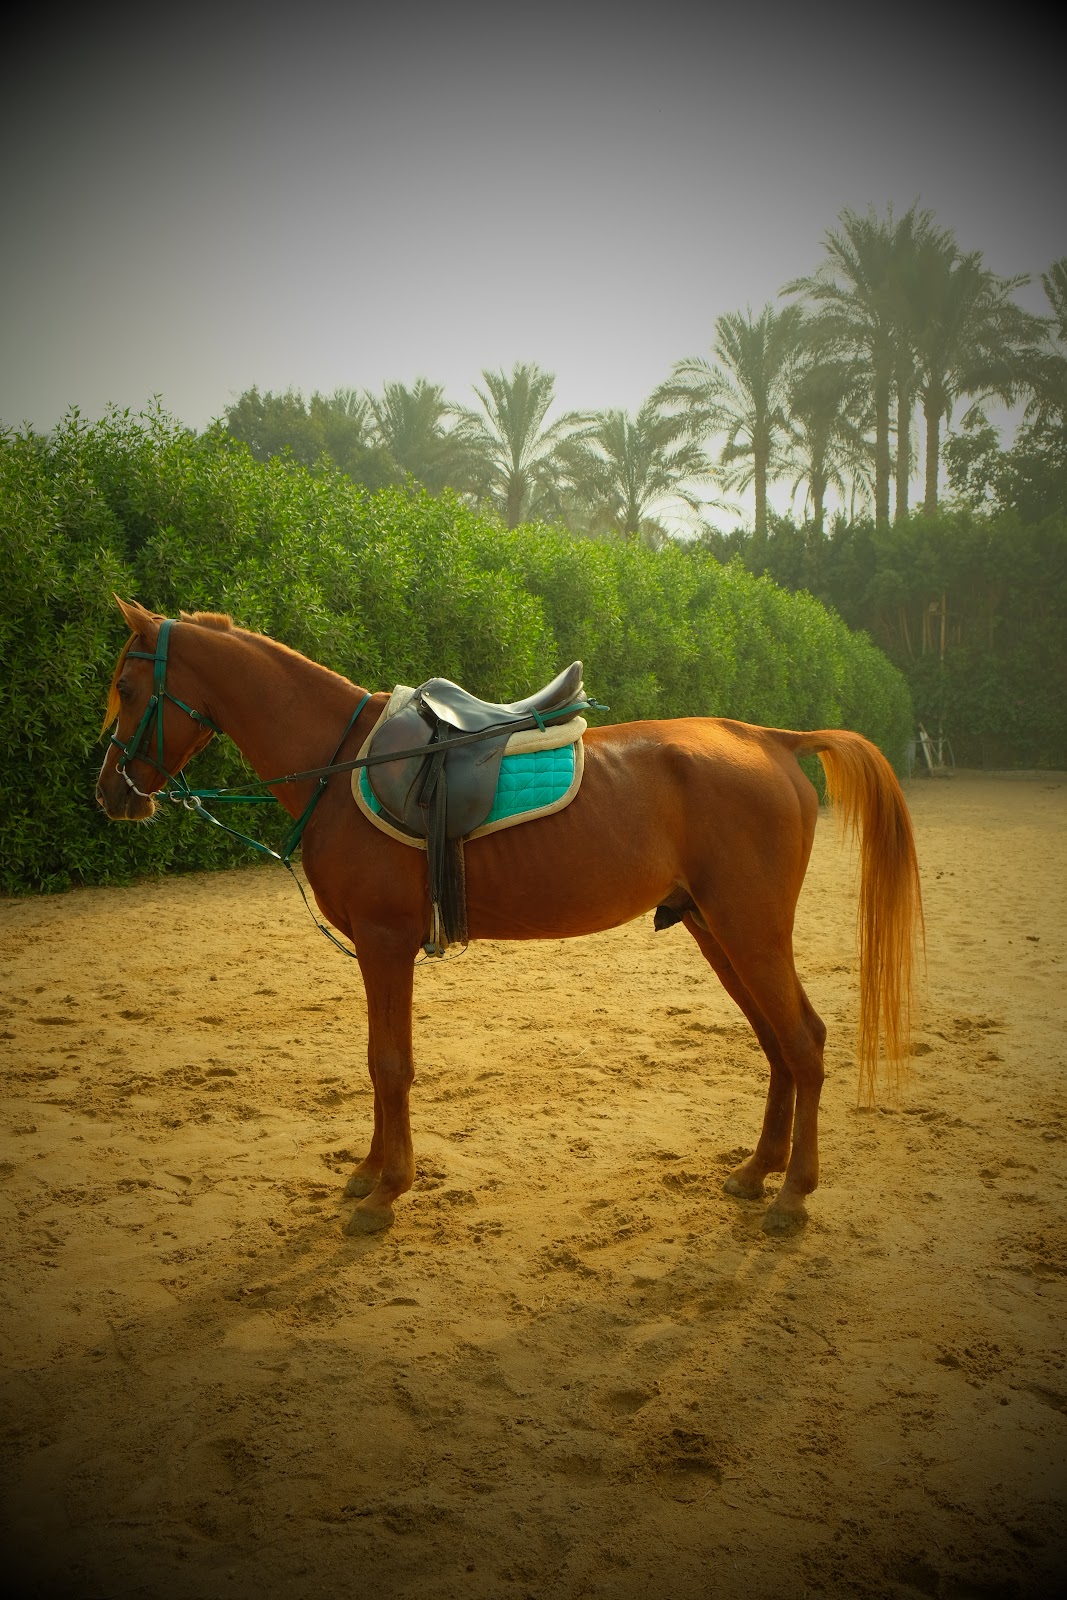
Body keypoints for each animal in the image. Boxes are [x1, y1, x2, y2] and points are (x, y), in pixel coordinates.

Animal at [96, 597, 923, 1236]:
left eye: (127, 688)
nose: (107, 792)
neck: (346, 765)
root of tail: (769, 739)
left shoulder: (385, 943)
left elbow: (389, 1064)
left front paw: (386, 1191)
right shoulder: (377, 948)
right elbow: (376, 1061)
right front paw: (369, 1172)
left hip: (748, 929)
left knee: (804, 1042)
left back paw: (791, 1196)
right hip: (714, 927)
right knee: (775, 1043)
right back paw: (756, 1172)